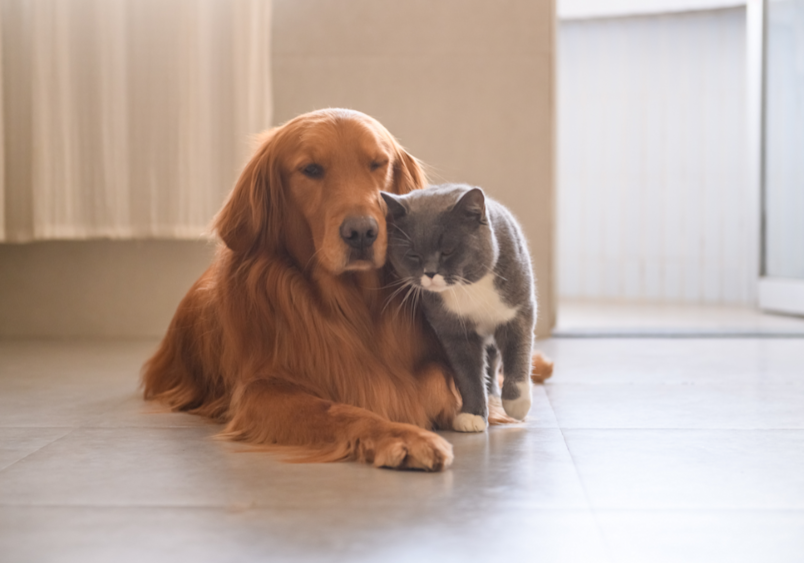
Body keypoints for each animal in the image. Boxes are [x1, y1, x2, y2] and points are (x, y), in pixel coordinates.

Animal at [382, 184, 536, 432]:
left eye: (447, 250)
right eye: (413, 255)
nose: (430, 272)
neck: (466, 288)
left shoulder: (518, 312)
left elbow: (518, 354)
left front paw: (517, 404)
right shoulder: (454, 331)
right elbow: (468, 373)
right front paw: (472, 415)